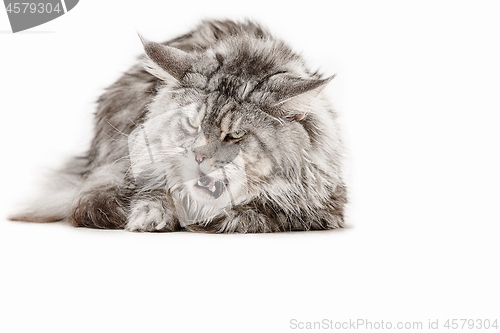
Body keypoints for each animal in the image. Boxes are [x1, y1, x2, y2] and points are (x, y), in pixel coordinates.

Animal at [10, 19, 348, 232]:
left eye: (236, 134)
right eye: (192, 123)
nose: (198, 156)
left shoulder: (324, 207)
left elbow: (259, 211)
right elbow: (154, 194)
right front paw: (149, 217)